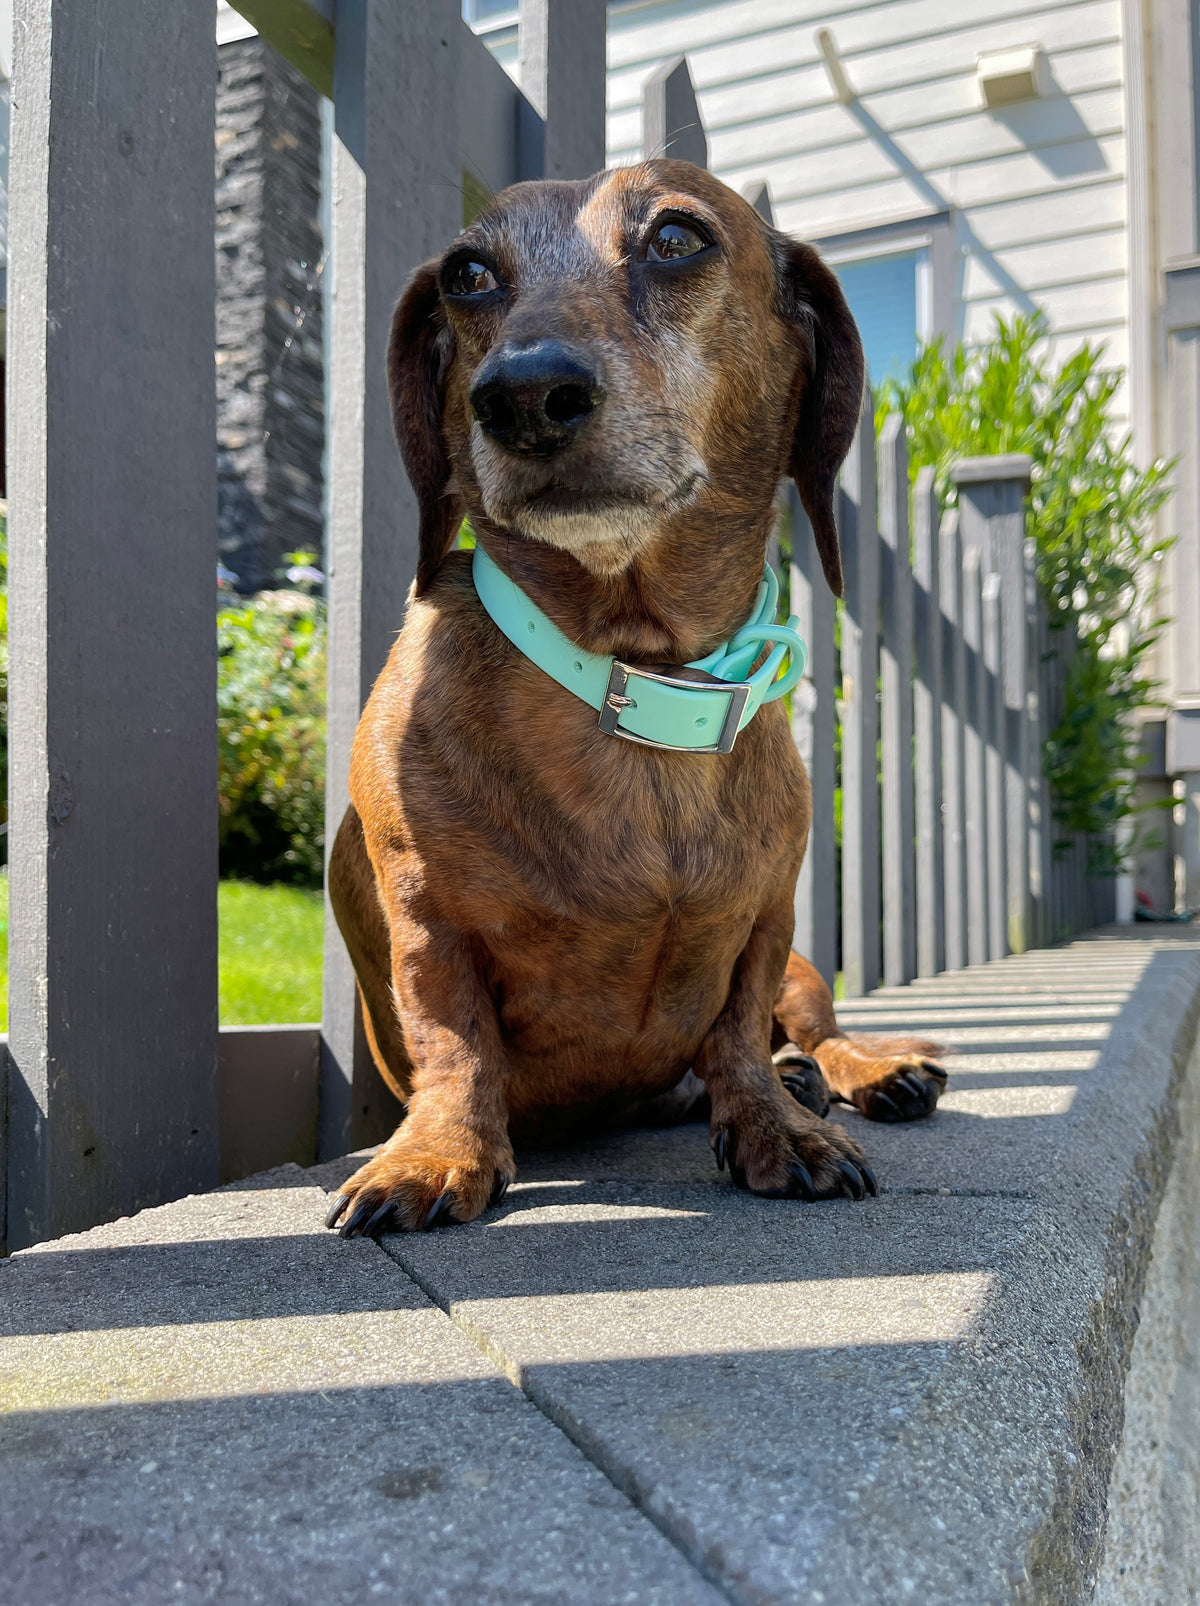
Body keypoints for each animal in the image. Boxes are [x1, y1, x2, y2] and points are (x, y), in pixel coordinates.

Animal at [324, 159, 944, 1239]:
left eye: (677, 237)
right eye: (468, 273)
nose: (524, 395)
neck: (635, 677)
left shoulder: (766, 924)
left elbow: (734, 1033)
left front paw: (777, 1128)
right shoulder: (427, 923)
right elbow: (455, 1039)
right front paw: (438, 1152)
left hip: (807, 972)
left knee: (812, 1031)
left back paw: (860, 1072)